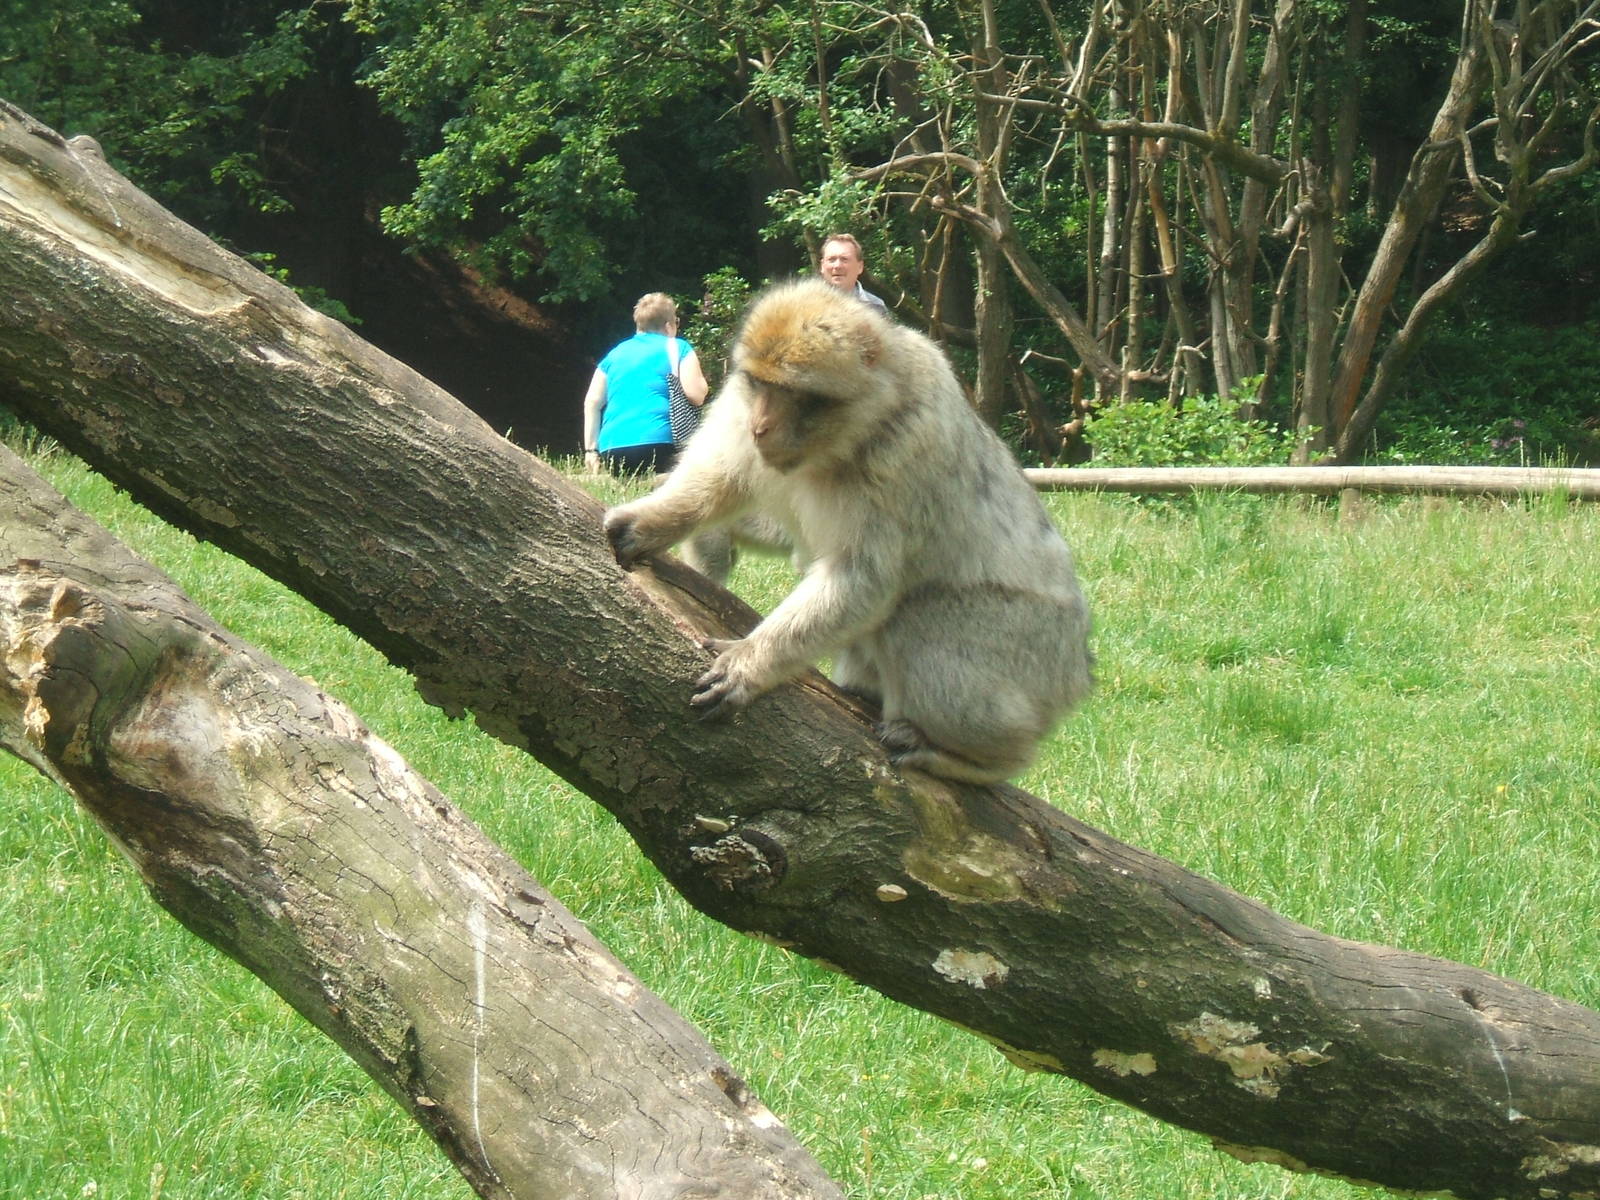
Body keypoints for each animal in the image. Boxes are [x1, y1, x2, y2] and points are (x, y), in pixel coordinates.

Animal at [603, 277, 1092, 784]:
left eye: (794, 393)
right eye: (760, 384)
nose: (761, 426)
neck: (848, 434)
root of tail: (1078, 670)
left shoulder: (906, 452)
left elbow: (862, 579)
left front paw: (752, 661)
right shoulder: (739, 412)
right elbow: (723, 478)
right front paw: (650, 520)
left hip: (1030, 643)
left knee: (916, 618)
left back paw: (979, 760)